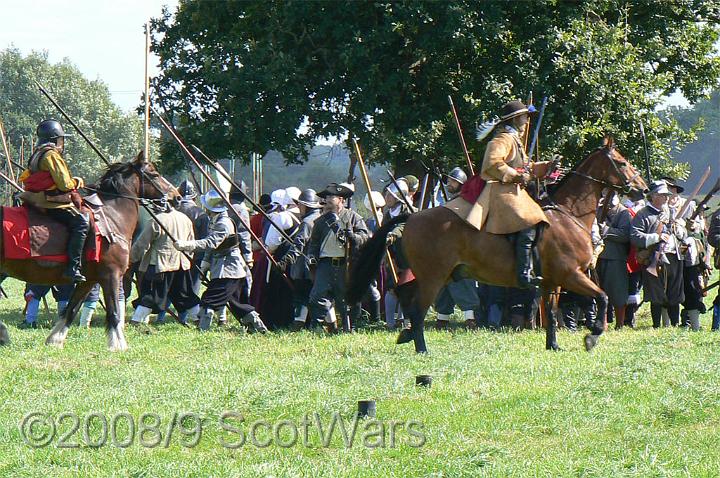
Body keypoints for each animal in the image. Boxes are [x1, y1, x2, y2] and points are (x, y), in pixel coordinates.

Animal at [0, 153, 177, 352]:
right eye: (154, 174)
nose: (176, 197)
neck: (113, 217)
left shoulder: (89, 281)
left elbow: (71, 309)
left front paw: (55, 339)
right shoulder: (111, 276)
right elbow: (114, 312)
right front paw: (118, 344)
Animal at [348, 138, 648, 352]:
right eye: (622, 163)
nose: (643, 189)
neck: (568, 214)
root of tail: (412, 217)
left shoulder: (554, 282)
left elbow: (552, 313)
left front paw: (553, 345)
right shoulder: (570, 275)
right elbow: (602, 297)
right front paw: (592, 336)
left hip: (438, 276)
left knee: (405, 295)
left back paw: (406, 334)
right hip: (434, 277)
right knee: (417, 307)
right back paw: (420, 347)